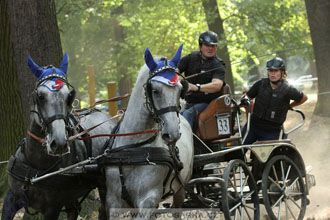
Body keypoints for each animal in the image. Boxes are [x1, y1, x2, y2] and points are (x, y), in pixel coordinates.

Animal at [0, 53, 117, 220]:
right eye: (40, 96)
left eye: (69, 96)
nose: (59, 143)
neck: (35, 170)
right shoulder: (11, 198)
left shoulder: (52, 208)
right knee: (75, 210)